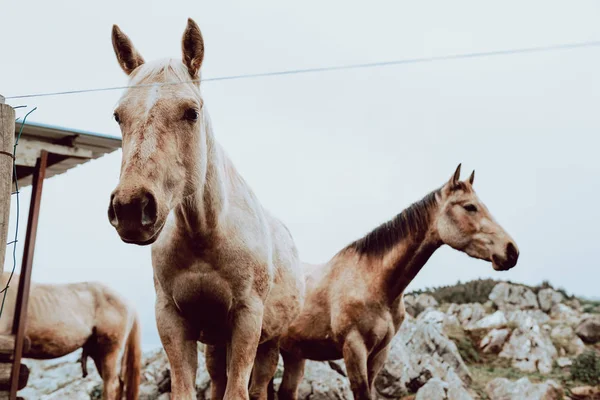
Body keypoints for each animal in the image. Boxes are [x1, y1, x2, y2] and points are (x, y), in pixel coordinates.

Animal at [106, 18, 304, 400]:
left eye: (191, 112)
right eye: (118, 115)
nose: (131, 208)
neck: (205, 233)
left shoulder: (247, 320)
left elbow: (239, 391)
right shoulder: (172, 319)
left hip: (269, 342)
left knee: (259, 386)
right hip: (215, 342)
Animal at [278, 165, 520, 400]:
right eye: (470, 207)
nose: (511, 251)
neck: (374, 283)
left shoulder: (380, 352)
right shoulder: (353, 348)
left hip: (293, 354)